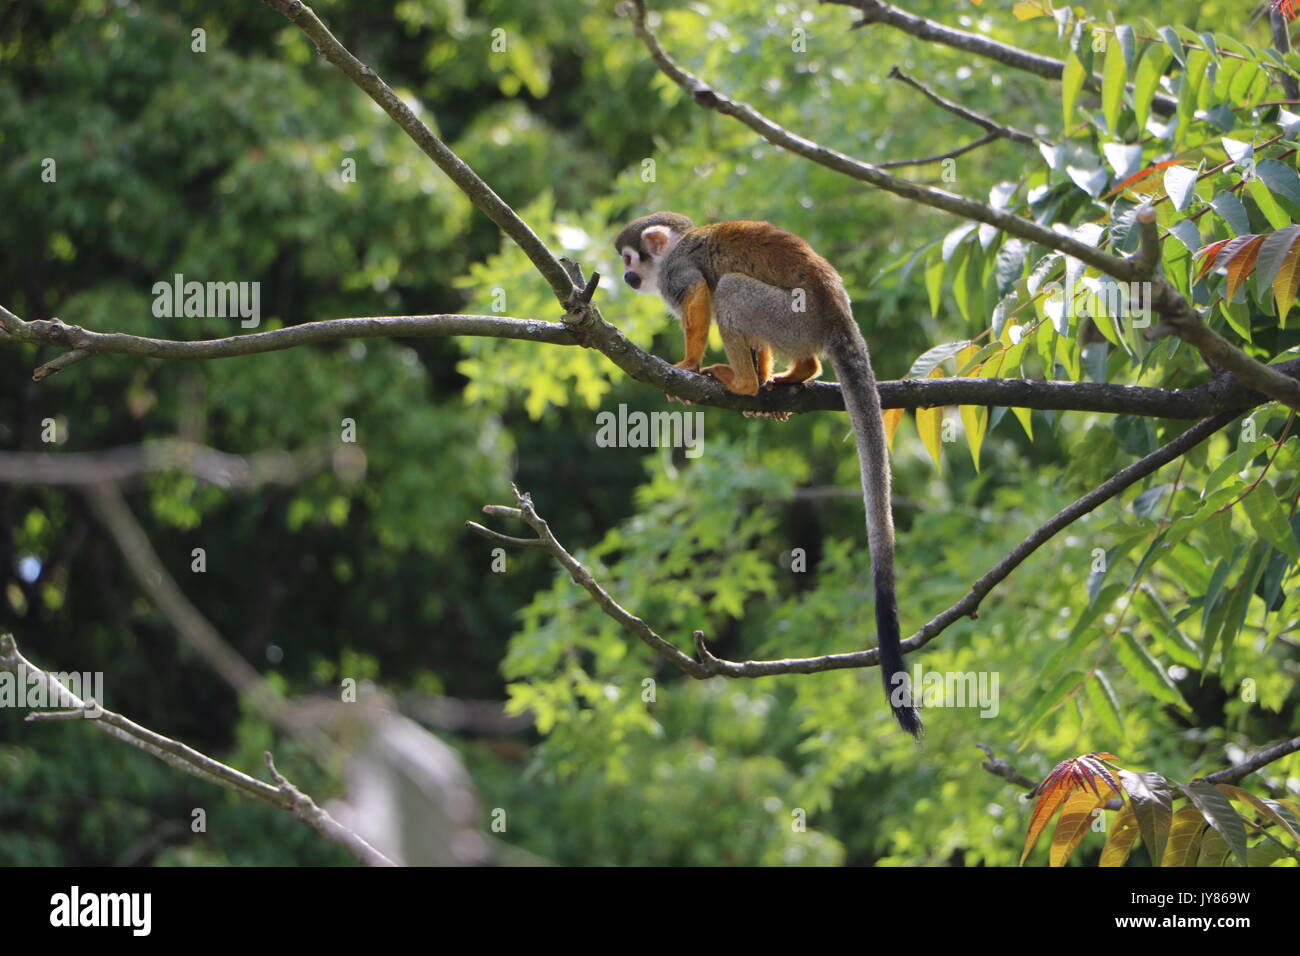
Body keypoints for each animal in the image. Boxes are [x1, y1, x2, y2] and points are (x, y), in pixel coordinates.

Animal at [614, 211, 922, 737]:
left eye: (633, 259)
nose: (629, 277)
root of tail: (839, 320)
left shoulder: (677, 273)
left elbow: (701, 293)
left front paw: (692, 363)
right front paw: (759, 389)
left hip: (792, 317)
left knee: (731, 290)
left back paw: (741, 381)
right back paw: (792, 374)